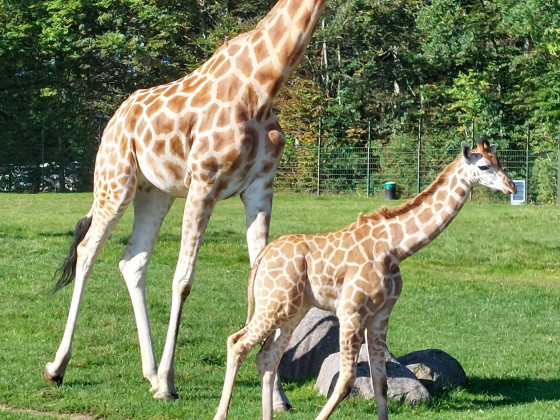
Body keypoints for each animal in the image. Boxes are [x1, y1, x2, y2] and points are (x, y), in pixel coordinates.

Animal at [46, 0, 328, 406]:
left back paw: (147, 372)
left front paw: (278, 398)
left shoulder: (260, 187)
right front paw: (167, 382)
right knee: (87, 251)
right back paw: (58, 367)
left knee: (133, 260)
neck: (263, 84)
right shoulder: (204, 183)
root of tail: (114, 119)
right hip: (115, 181)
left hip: (154, 192)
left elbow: (261, 278)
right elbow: (183, 280)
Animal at [213, 139, 516, 420]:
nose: (512, 187)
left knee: (267, 357)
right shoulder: (351, 312)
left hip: (293, 308)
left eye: (499, 161)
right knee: (237, 343)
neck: (396, 248)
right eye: (484, 166)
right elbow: (346, 382)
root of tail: (263, 256)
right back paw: (220, 414)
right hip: (275, 303)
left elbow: (380, 382)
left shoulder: (381, 315)